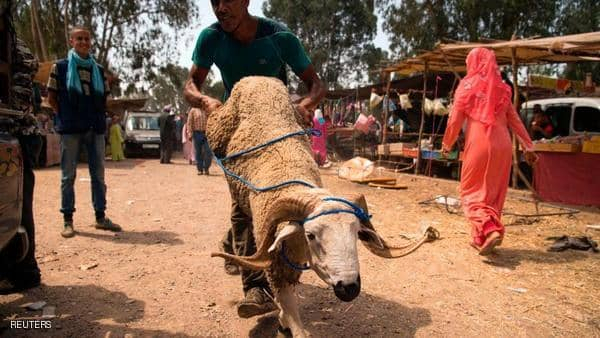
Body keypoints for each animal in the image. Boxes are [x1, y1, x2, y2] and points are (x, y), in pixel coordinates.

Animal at [207, 77, 436, 338]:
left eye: (357, 233)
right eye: (311, 235)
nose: (349, 287)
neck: (292, 179)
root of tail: (256, 78)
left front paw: (283, 320)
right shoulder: (276, 264)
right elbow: (290, 310)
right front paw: (287, 320)